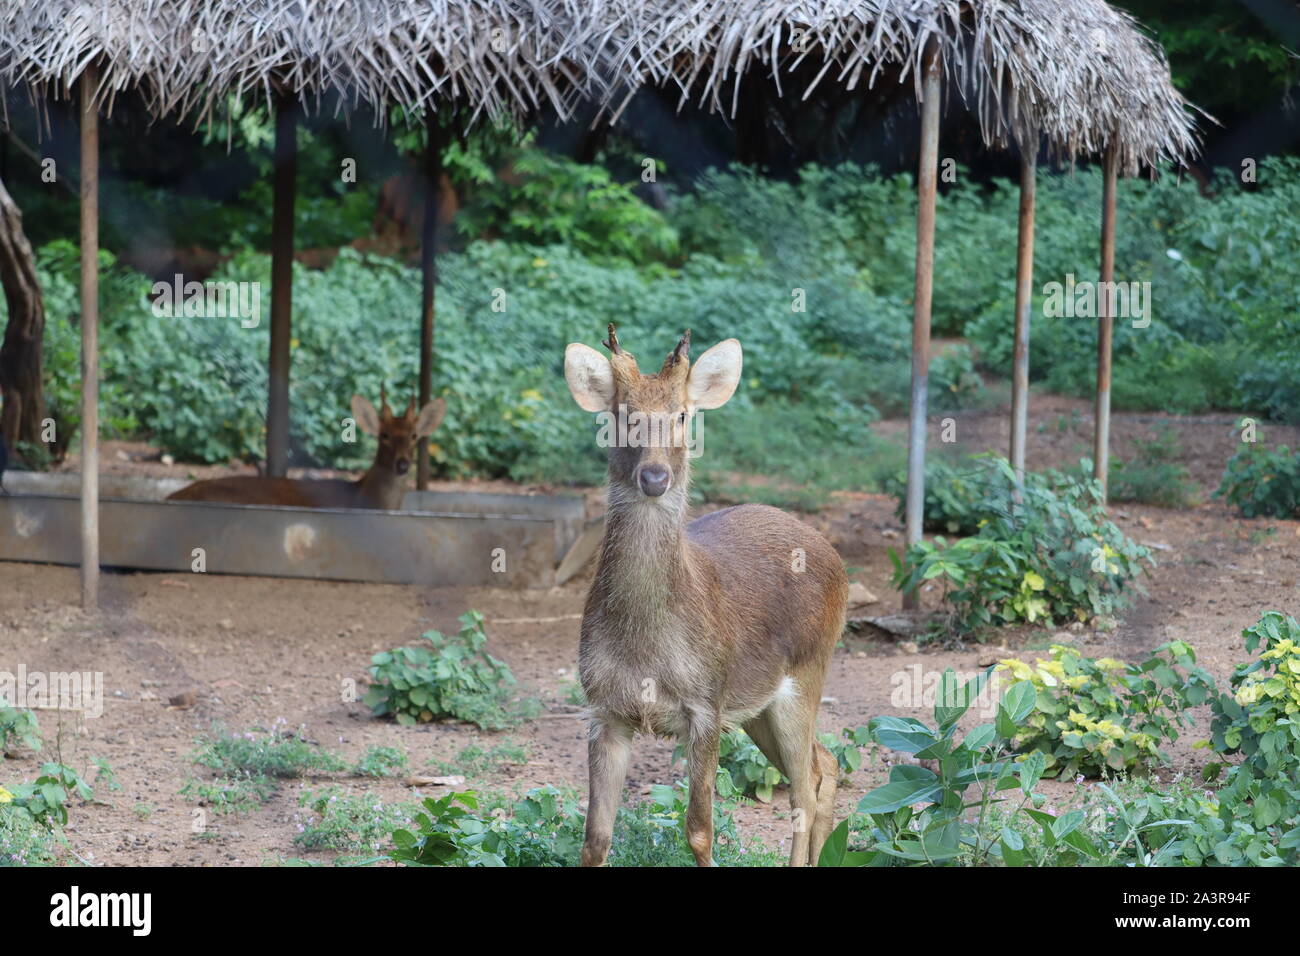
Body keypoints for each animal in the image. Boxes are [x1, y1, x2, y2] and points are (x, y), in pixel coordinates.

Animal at [564, 323, 847, 868]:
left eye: (681, 415)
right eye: (623, 415)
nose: (655, 476)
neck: (647, 649)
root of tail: (835, 555)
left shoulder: (705, 703)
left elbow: (699, 828)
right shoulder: (605, 708)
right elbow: (595, 838)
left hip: (808, 669)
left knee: (804, 787)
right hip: (759, 704)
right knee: (825, 764)